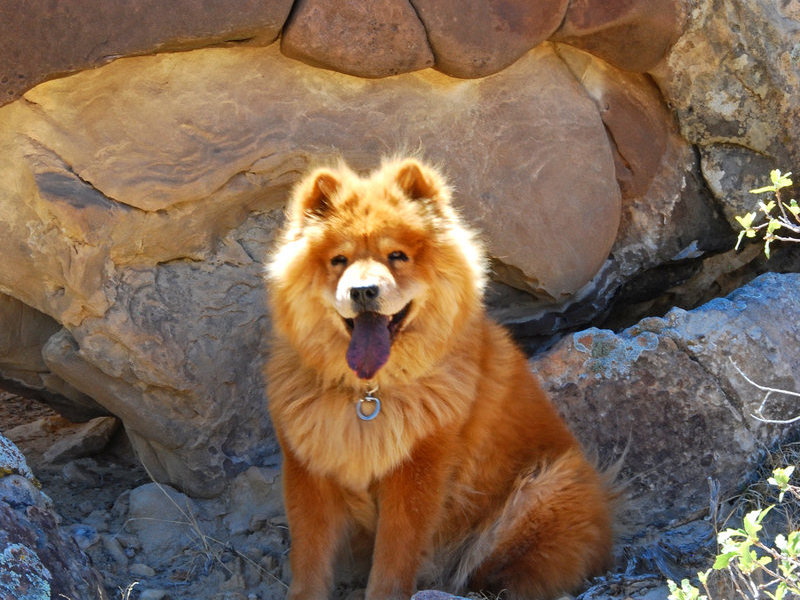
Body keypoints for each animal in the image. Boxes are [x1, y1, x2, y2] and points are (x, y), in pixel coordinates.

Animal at [266, 157, 616, 596]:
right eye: (339, 260)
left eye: (396, 256)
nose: (363, 291)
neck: (368, 396)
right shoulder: (309, 470)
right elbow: (310, 558)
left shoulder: (418, 470)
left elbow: (394, 557)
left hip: (545, 487)